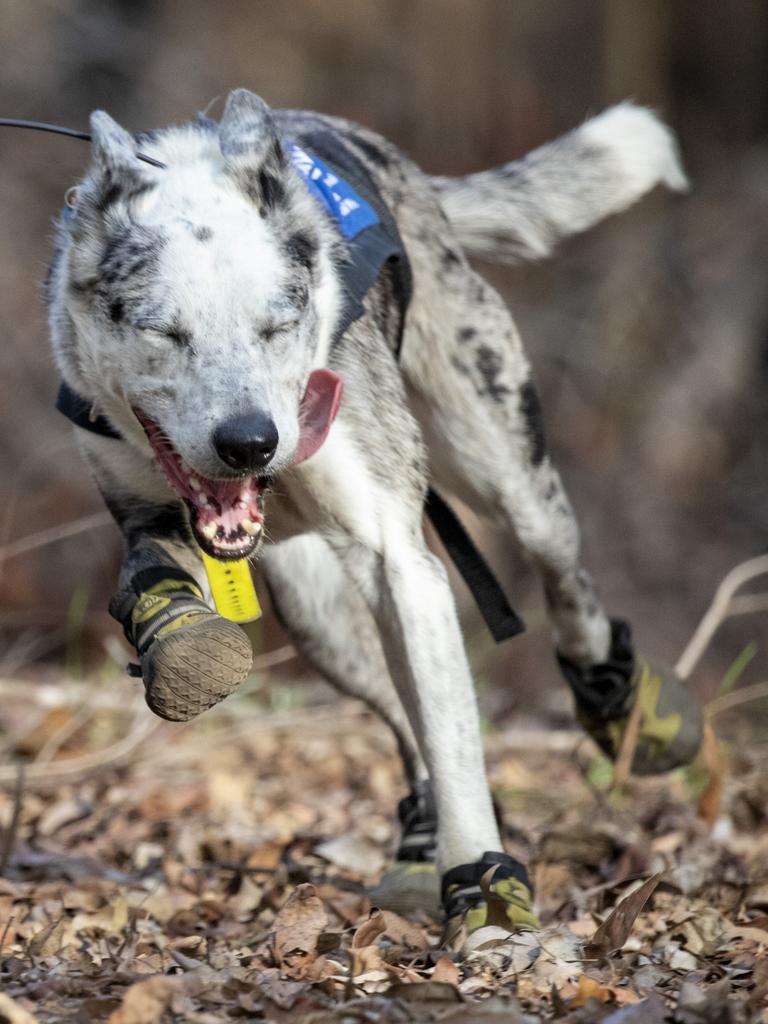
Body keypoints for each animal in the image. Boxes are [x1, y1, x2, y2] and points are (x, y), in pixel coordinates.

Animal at [45, 92, 700, 933]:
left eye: (276, 324)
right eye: (164, 331)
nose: (251, 443)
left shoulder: (400, 557)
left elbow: (456, 738)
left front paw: (486, 889)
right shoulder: (142, 509)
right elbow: (150, 580)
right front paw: (183, 642)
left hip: (506, 471)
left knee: (563, 583)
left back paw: (620, 706)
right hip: (316, 608)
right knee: (399, 703)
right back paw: (421, 847)